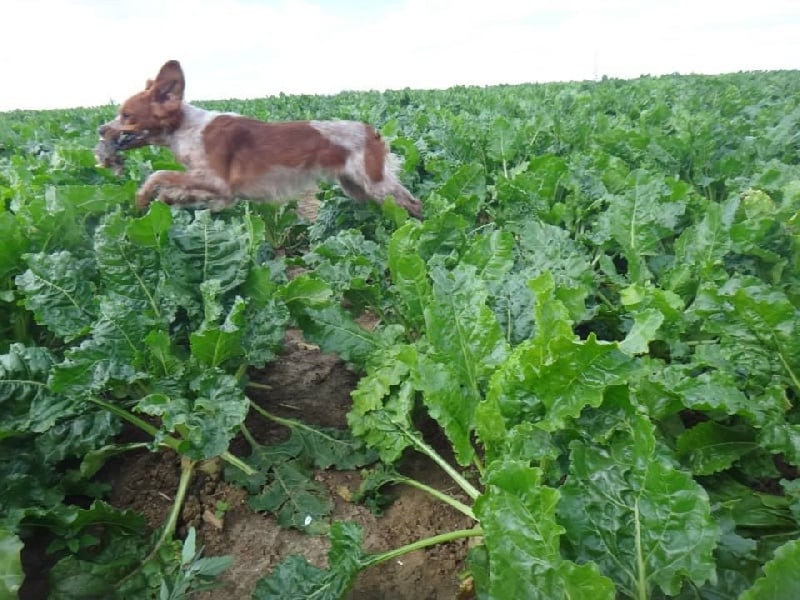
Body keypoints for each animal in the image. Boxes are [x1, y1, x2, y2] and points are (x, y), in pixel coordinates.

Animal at [95, 59, 424, 219]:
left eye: (126, 115)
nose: (100, 130)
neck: (187, 128)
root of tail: (371, 130)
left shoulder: (217, 181)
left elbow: (158, 174)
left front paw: (140, 200)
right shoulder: (218, 191)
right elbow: (176, 188)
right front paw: (170, 199)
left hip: (376, 183)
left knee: (414, 203)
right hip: (355, 187)